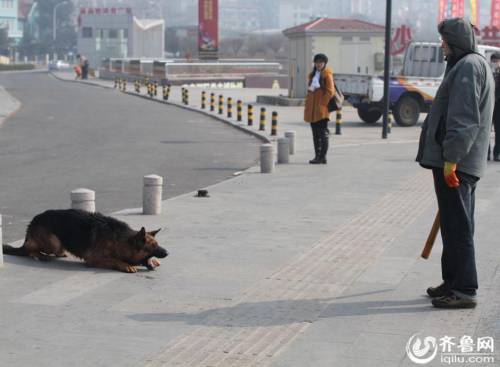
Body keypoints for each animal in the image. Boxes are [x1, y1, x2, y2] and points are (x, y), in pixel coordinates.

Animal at [1, 210, 170, 274]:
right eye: (152, 248)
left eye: (158, 245)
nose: (168, 252)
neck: (120, 239)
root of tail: (31, 224)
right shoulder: (94, 259)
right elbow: (115, 260)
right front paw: (125, 264)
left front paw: (154, 262)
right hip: (53, 242)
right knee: (29, 250)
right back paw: (40, 255)